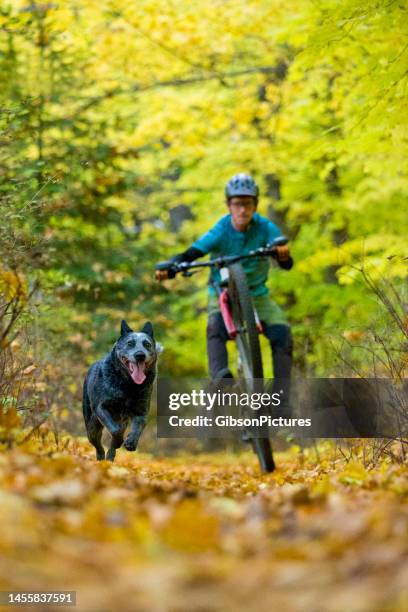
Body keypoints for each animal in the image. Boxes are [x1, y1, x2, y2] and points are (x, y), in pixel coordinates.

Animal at [82, 320, 160, 460]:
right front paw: (119, 440)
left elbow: (137, 428)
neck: (128, 385)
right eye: (130, 343)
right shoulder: (101, 407)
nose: (140, 355)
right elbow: (115, 430)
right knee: (96, 442)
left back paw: (110, 457)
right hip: (92, 424)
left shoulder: (141, 412)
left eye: (147, 344)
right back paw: (101, 457)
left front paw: (131, 442)